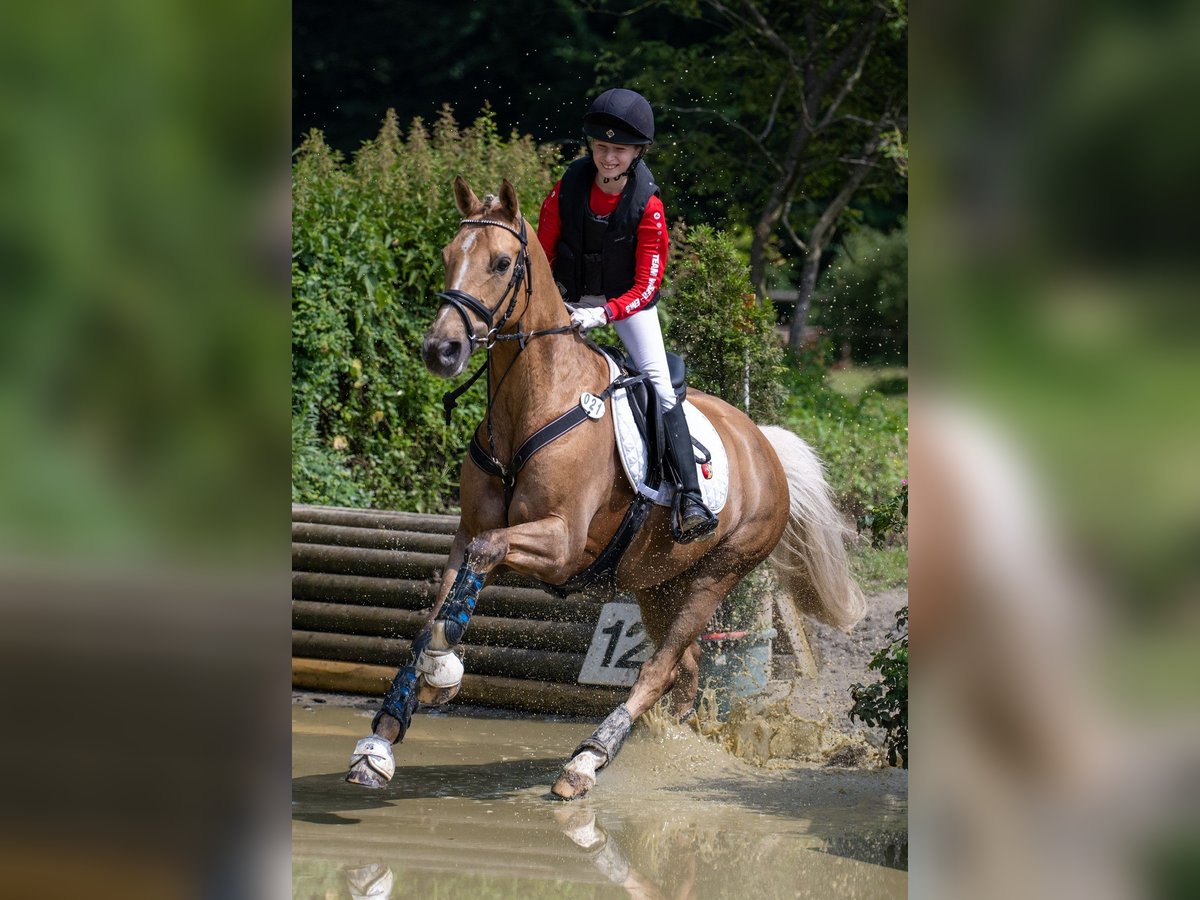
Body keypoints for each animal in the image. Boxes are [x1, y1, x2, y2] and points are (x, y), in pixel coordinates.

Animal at [348, 180, 864, 801]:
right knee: (686, 669)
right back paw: (666, 749)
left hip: (721, 571)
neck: (534, 400)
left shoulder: (560, 543)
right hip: (657, 582)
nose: (441, 350)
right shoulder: (469, 532)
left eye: (501, 263)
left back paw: (586, 761)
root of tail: (764, 443)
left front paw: (444, 672)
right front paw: (379, 744)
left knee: (660, 667)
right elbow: (434, 615)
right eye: (449, 255)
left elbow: (483, 561)